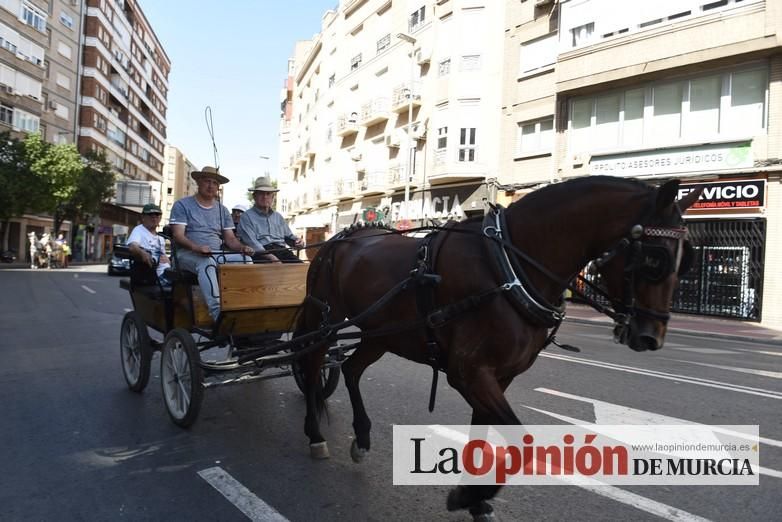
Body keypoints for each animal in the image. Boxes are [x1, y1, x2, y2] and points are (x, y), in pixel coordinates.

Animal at [294, 177, 704, 516]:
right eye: (654, 258)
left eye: (686, 259)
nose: (651, 336)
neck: (510, 268)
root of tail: (338, 240)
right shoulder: (469, 374)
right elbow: (522, 444)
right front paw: (469, 496)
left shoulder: (498, 376)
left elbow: (484, 436)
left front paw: (475, 498)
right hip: (325, 322)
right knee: (312, 368)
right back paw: (314, 435)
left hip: (382, 334)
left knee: (351, 369)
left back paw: (361, 436)